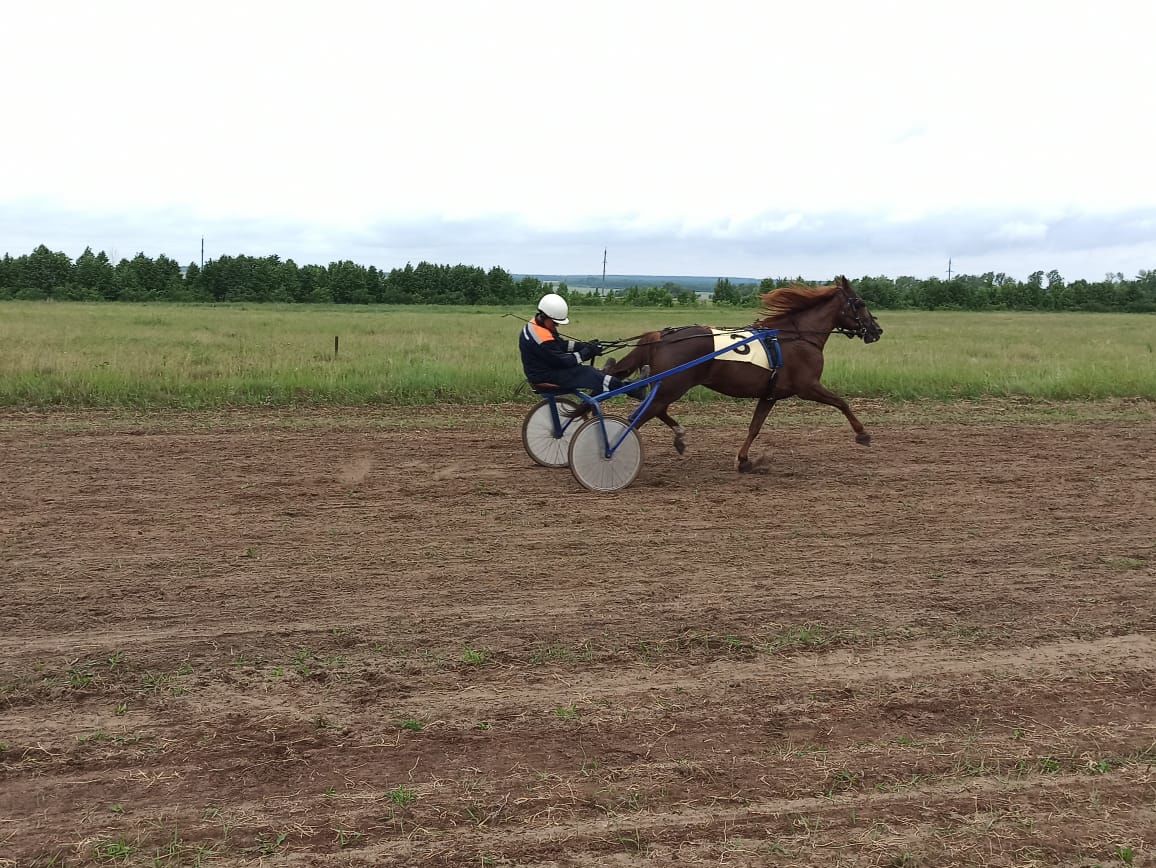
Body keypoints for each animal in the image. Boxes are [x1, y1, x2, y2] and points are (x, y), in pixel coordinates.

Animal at [605, 275, 883, 471]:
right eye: (860, 303)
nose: (877, 330)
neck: (798, 336)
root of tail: (661, 336)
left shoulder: (770, 395)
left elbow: (754, 427)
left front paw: (745, 460)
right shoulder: (808, 387)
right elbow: (842, 402)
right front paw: (863, 434)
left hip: (666, 387)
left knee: (655, 410)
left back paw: (679, 438)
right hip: (671, 387)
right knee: (637, 418)